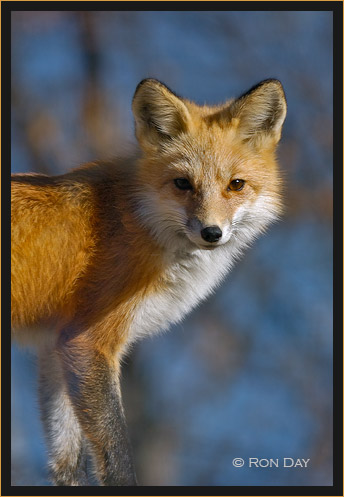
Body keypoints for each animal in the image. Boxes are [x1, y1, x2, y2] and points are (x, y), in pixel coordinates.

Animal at [10, 77, 286, 484]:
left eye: (236, 184)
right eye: (182, 184)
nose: (211, 233)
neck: (138, 221)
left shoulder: (55, 346)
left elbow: (67, 464)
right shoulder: (88, 343)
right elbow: (118, 458)